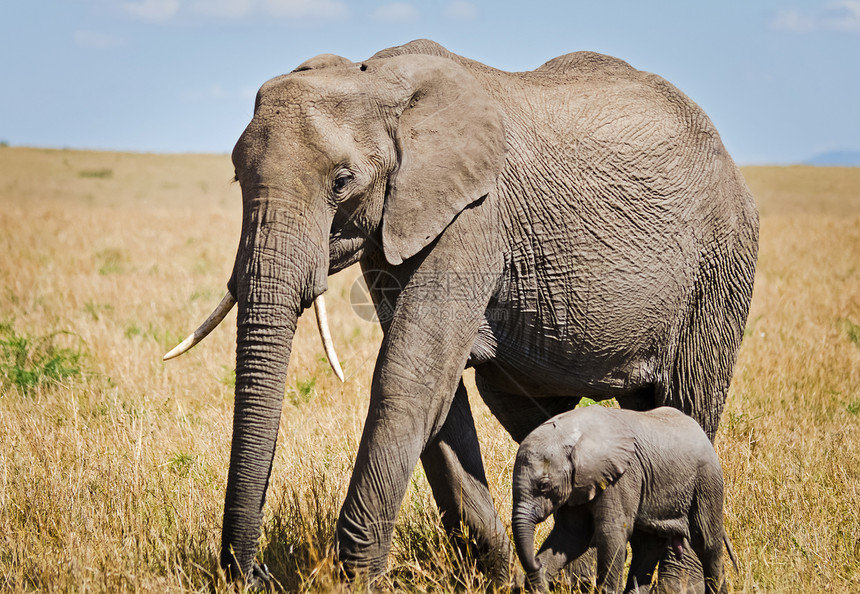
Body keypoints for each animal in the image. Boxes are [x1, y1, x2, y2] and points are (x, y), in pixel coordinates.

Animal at [512, 404, 736, 592]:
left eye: (544, 485)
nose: (535, 562)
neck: (570, 433)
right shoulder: (577, 484)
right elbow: (571, 535)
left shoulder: (622, 476)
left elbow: (611, 532)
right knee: (647, 547)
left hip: (707, 481)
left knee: (706, 541)